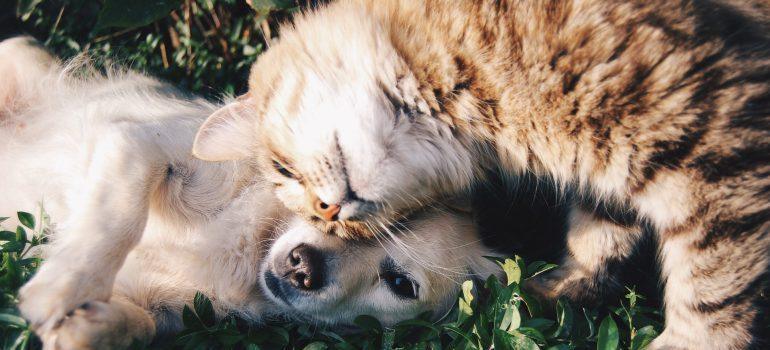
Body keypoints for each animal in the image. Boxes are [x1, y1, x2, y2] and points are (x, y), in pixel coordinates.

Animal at [0, 37, 500, 348]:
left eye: (400, 284)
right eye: (327, 206)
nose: (303, 267)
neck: (250, 247)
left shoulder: (164, 310)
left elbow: (140, 326)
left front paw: (87, 326)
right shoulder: (138, 144)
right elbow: (117, 219)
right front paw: (61, 288)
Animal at [192, 1, 768, 348]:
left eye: (283, 169)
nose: (329, 211)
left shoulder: (715, 143)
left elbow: (712, 288)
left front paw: (691, 342)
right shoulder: (613, 169)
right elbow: (598, 238)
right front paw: (557, 291)